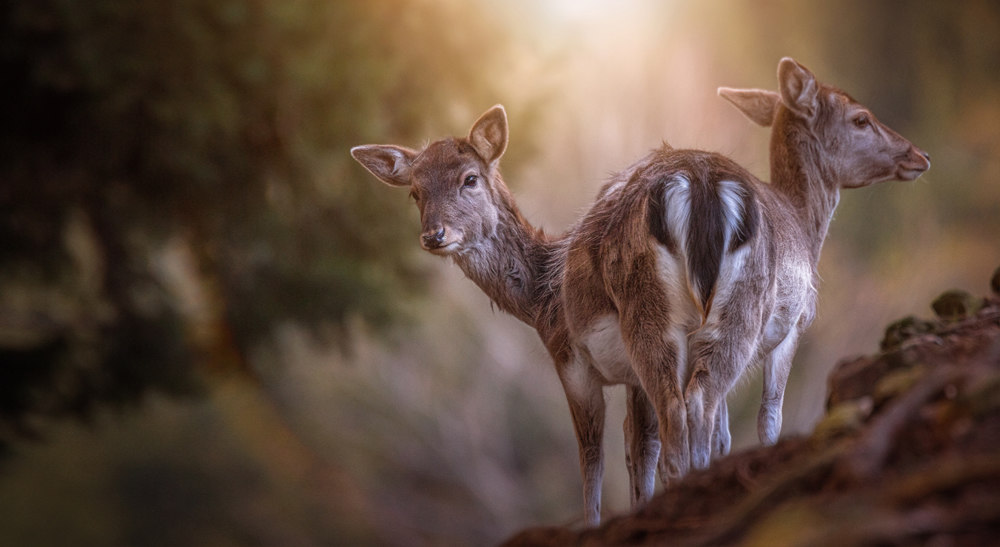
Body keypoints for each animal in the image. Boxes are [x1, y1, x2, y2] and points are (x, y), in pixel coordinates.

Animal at [560, 56, 931, 523]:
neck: (806, 228)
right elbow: (769, 414)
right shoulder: (792, 327)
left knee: (673, 411)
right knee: (697, 402)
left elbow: (723, 433)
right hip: (739, 311)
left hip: (651, 318)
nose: (919, 155)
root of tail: (696, 186)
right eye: (860, 118)